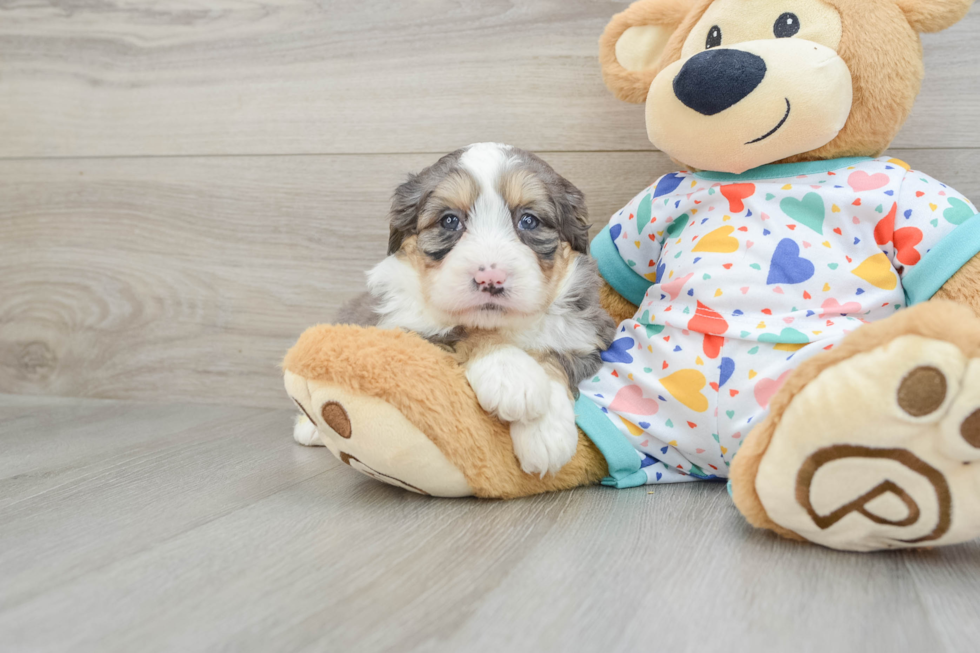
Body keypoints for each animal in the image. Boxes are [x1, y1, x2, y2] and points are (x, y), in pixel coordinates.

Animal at [292, 144, 612, 474]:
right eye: (449, 221)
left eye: (529, 221)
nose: (490, 278)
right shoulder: (404, 329)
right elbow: (465, 332)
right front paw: (510, 373)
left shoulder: (586, 338)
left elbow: (552, 356)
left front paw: (546, 433)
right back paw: (310, 427)